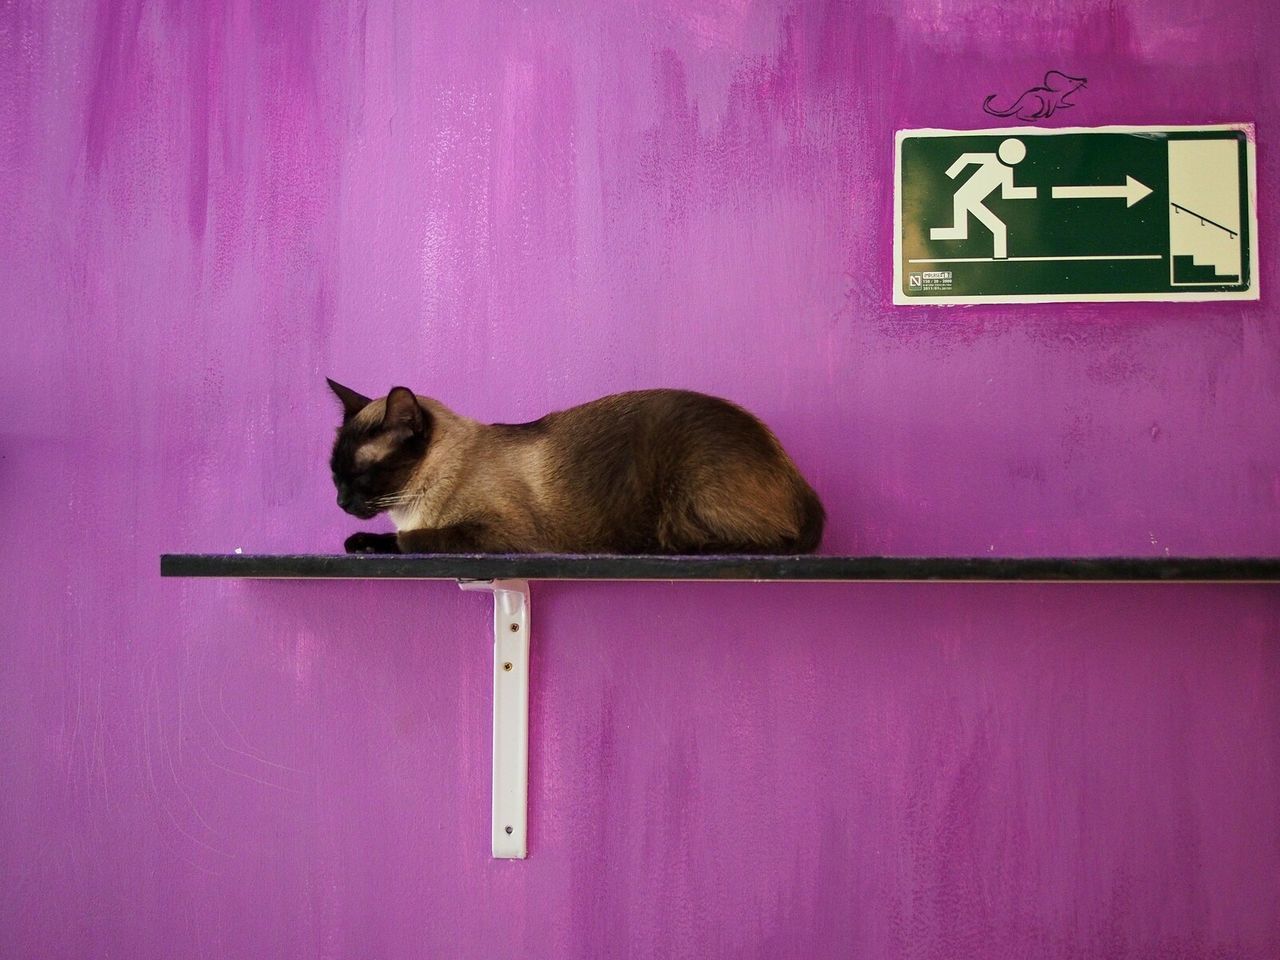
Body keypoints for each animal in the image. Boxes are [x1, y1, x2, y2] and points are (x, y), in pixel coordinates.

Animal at [330, 378, 824, 555]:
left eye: (362, 474)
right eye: (334, 473)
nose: (341, 502)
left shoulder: (499, 535)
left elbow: (412, 540)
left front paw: (363, 542)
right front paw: (359, 540)